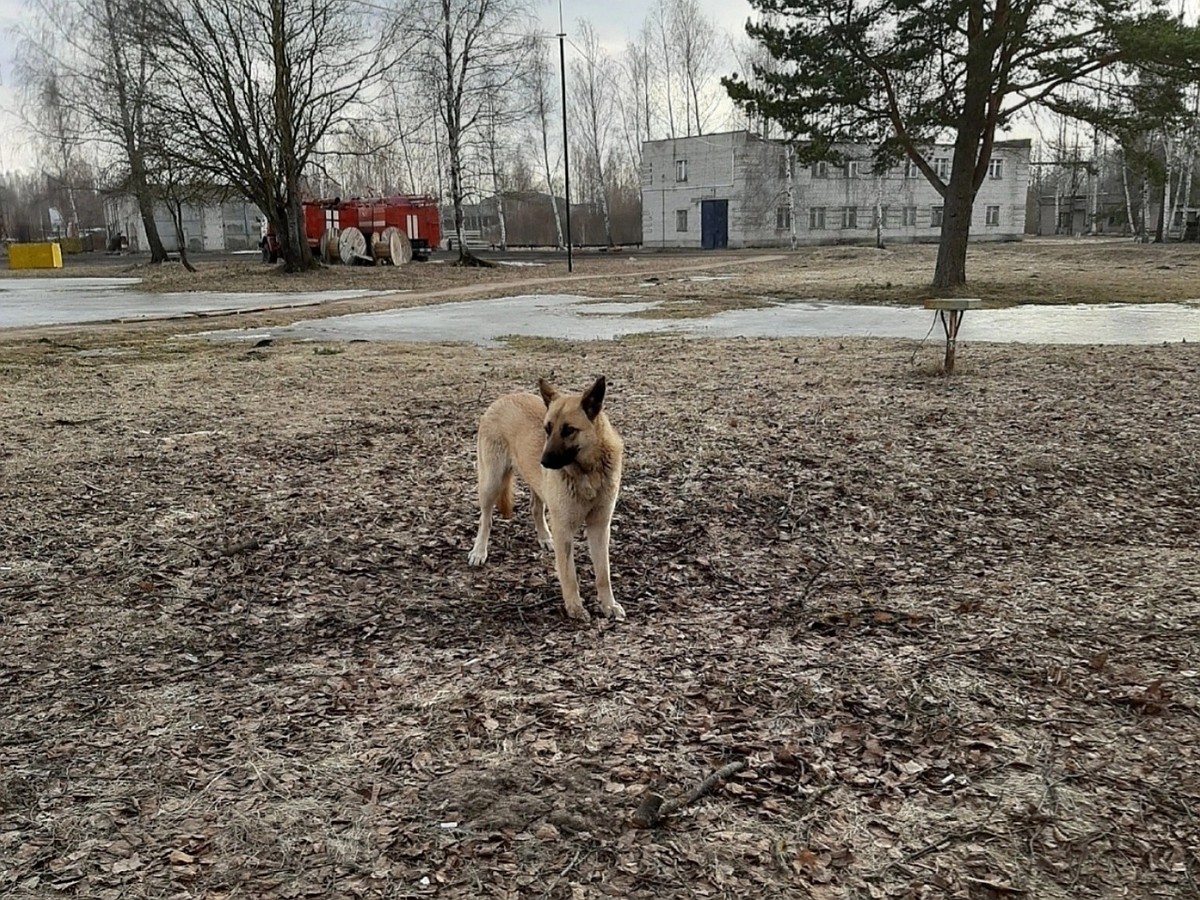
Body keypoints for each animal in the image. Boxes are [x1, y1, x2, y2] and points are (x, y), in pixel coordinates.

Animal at [465, 376, 628, 624]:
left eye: (569, 430)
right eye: (547, 429)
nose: (543, 461)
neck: (588, 472)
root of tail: (503, 398)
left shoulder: (600, 526)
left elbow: (603, 573)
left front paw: (609, 604)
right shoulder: (564, 529)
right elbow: (569, 575)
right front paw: (574, 607)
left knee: (535, 508)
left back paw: (544, 537)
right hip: (491, 483)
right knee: (486, 519)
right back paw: (479, 550)